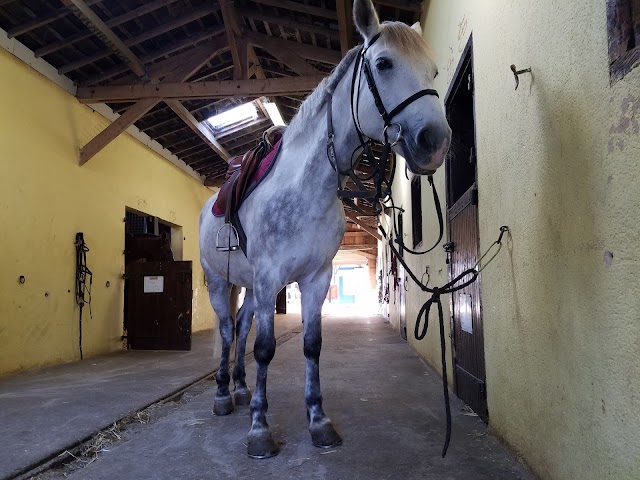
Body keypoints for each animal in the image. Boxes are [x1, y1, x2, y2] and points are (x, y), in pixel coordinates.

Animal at [200, 0, 450, 458]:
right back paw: (225, 395)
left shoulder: (316, 278)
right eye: (383, 63)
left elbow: (311, 346)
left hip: (249, 286)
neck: (305, 189)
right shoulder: (271, 278)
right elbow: (264, 349)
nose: (435, 141)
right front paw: (260, 429)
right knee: (228, 331)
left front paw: (318, 421)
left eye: (434, 71)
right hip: (218, 281)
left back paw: (241, 390)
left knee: (241, 326)